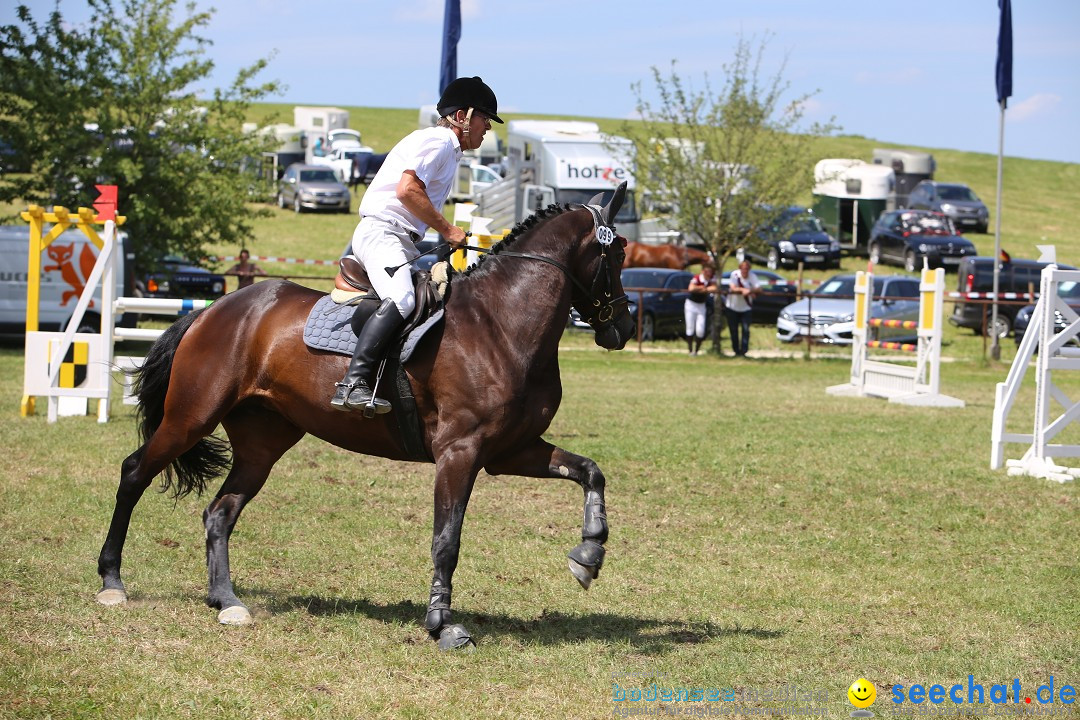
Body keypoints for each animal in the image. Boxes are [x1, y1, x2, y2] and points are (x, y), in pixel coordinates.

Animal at [97, 183, 635, 651]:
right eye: (619, 252)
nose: (625, 327)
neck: (501, 323)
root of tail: (215, 309)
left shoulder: (509, 451)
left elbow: (591, 472)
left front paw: (589, 555)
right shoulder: (460, 453)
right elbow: (447, 540)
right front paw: (442, 625)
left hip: (262, 443)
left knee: (220, 512)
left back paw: (226, 600)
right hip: (191, 417)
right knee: (134, 473)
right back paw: (111, 580)